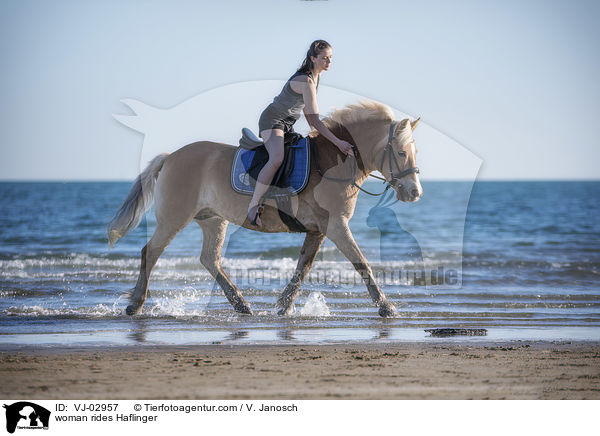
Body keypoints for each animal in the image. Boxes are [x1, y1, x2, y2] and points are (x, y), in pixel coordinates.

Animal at [109, 99, 426, 316]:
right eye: (401, 152)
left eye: (415, 151)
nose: (415, 193)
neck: (333, 161)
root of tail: (171, 157)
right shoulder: (336, 225)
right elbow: (361, 263)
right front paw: (386, 307)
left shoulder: (319, 230)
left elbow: (302, 268)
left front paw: (284, 306)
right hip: (174, 218)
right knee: (150, 252)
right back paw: (135, 305)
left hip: (213, 220)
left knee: (210, 259)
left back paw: (241, 304)